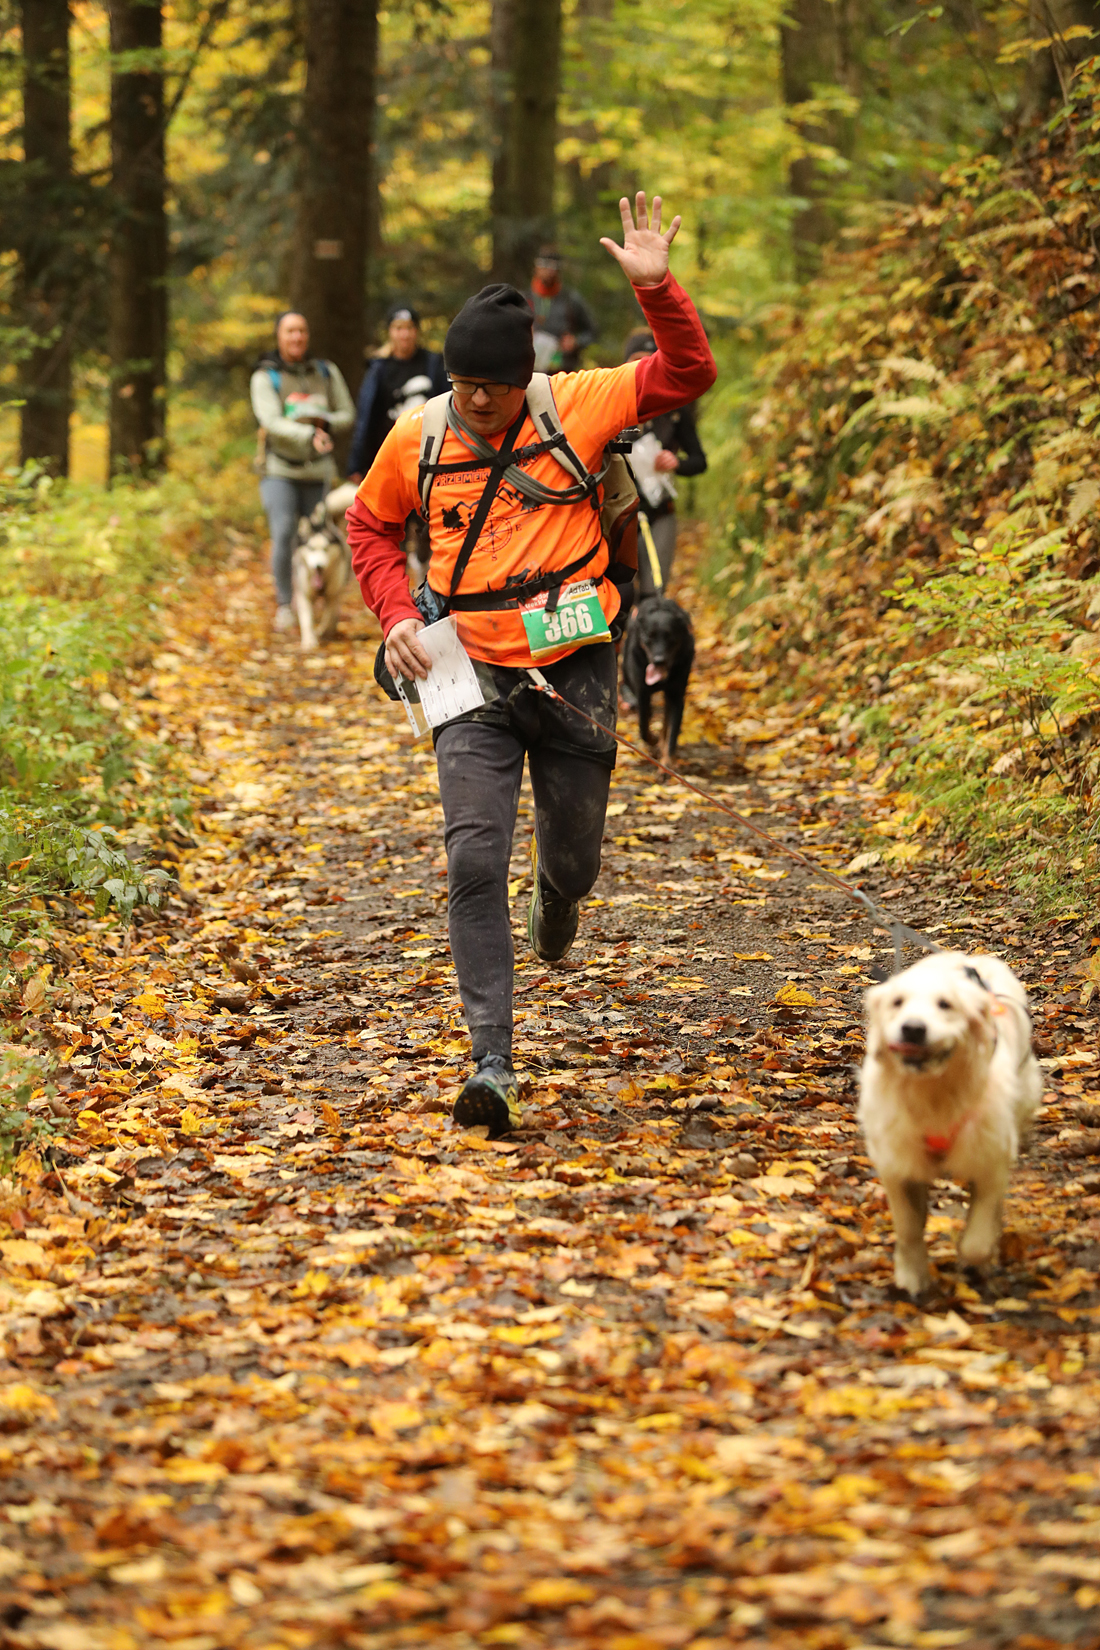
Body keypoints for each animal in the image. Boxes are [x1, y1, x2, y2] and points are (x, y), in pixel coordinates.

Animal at [292, 486, 353, 651]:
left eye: (325, 549)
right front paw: (309, 641)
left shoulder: (332, 594)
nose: (319, 566)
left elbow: (329, 616)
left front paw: (324, 631)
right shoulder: (304, 594)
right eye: (311, 548)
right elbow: (307, 619)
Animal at [622, 594, 695, 763]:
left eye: (670, 637)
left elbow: (672, 735)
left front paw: (666, 764)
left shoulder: (676, 695)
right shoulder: (642, 693)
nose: (658, 661)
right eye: (649, 636)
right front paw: (652, 742)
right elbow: (643, 727)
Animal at [858, 950, 1042, 1298]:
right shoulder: (897, 1163)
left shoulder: (990, 1161)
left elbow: (977, 1241)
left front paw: (977, 1261)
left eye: (945, 1004)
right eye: (897, 1002)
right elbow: (908, 1227)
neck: (934, 1093)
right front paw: (912, 1274)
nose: (912, 1029)